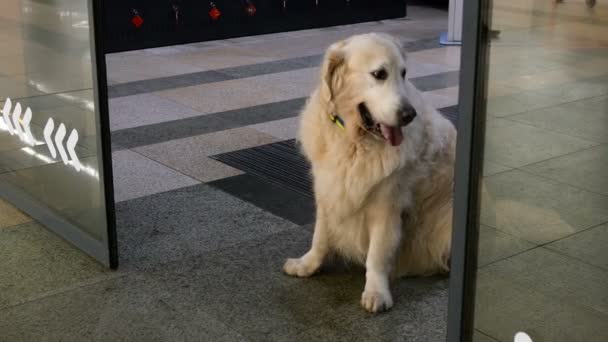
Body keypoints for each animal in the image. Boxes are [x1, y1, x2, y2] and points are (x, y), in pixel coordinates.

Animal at [282, 33, 454, 314]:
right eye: (379, 74)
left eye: (403, 73)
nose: (408, 115)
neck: (355, 141)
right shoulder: (328, 189)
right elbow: (320, 236)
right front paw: (307, 265)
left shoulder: (386, 205)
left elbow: (377, 254)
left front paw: (376, 292)